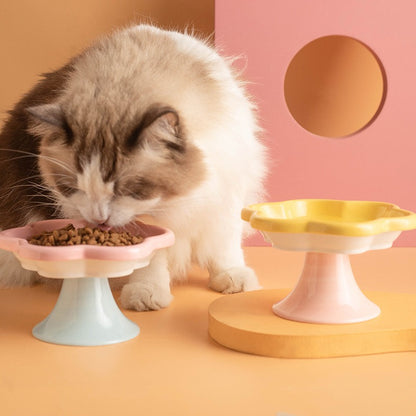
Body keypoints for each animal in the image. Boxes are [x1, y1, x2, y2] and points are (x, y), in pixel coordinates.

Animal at [0, 24, 266, 310]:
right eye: (73, 188)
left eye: (128, 189)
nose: (99, 219)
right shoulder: (148, 224)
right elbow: (150, 260)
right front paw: (146, 295)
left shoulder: (225, 193)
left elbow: (224, 250)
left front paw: (233, 280)